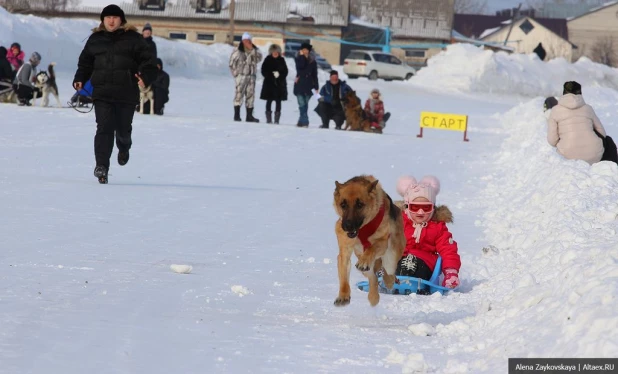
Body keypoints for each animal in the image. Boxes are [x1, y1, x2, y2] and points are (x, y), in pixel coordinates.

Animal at [332, 175, 404, 306]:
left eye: (360, 204)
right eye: (343, 205)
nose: (348, 226)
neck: (362, 229)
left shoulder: (382, 242)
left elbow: (372, 247)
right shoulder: (344, 252)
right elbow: (344, 274)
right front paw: (343, 296)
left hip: (391, 255)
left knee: (388, 270)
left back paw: (388, 280)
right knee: (373, 277)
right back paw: (373, 296)